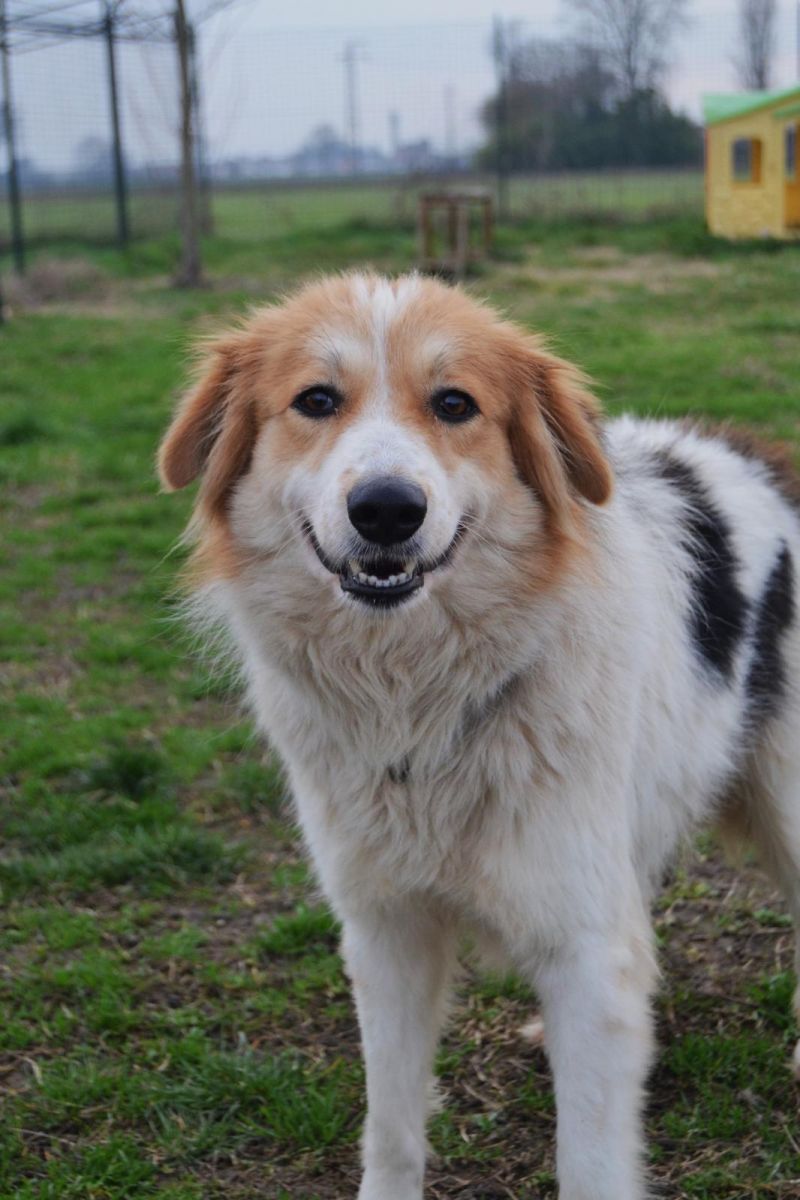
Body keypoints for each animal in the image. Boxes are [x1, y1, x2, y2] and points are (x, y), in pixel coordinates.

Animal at [158, 274, 800, 1200]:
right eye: (316, 400)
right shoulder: (385, 929)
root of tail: (765, 460)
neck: (421, 695)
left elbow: (590, 1162)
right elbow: (391, 1128)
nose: (386, 510)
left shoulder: (584, 944)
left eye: (454, 404)